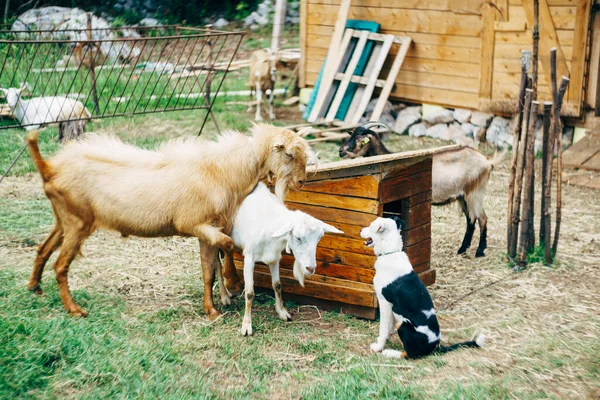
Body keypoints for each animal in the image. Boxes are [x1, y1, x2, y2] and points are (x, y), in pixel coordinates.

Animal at [25, 124, 312, 318]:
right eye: (288, 154)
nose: (301, 181)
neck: (222, 170)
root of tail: (49, 169)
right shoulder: (196, 224)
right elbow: (227, 247)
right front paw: (232, 284)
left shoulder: (208, 228)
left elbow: (210, 268)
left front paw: (213, 307)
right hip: (77, 223)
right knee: (60, 265)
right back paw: (75, 309)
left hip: (64, 219)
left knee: (43, 248)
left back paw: (35, 287)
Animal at [227, 183, 342, 336]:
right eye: (298, 237)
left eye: (319, 238)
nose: (310, 268)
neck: (268, 223)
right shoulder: (249, 257)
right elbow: (250, 292)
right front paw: (246, 325)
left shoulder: (274, 258)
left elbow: (277, 285)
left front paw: (282, 312)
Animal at [360, 217, 482, 360]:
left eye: (371, 226)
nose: (360, 230)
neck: (390, 253)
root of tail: (435, 346)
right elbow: (389, 326)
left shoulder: (384, 302)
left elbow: (383, 329)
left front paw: (379, 347)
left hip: (404, 324)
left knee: (409, 354)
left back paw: (389, 353)